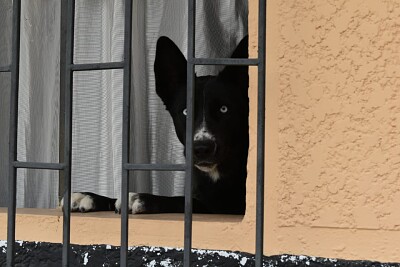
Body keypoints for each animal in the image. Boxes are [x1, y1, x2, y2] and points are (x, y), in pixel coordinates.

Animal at [62, 35, 248, 216]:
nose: (202, 148)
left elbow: (185, 201)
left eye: (224, 109)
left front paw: (141, 198)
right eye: (186, 111)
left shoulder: (231, 206)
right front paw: (86, 196)